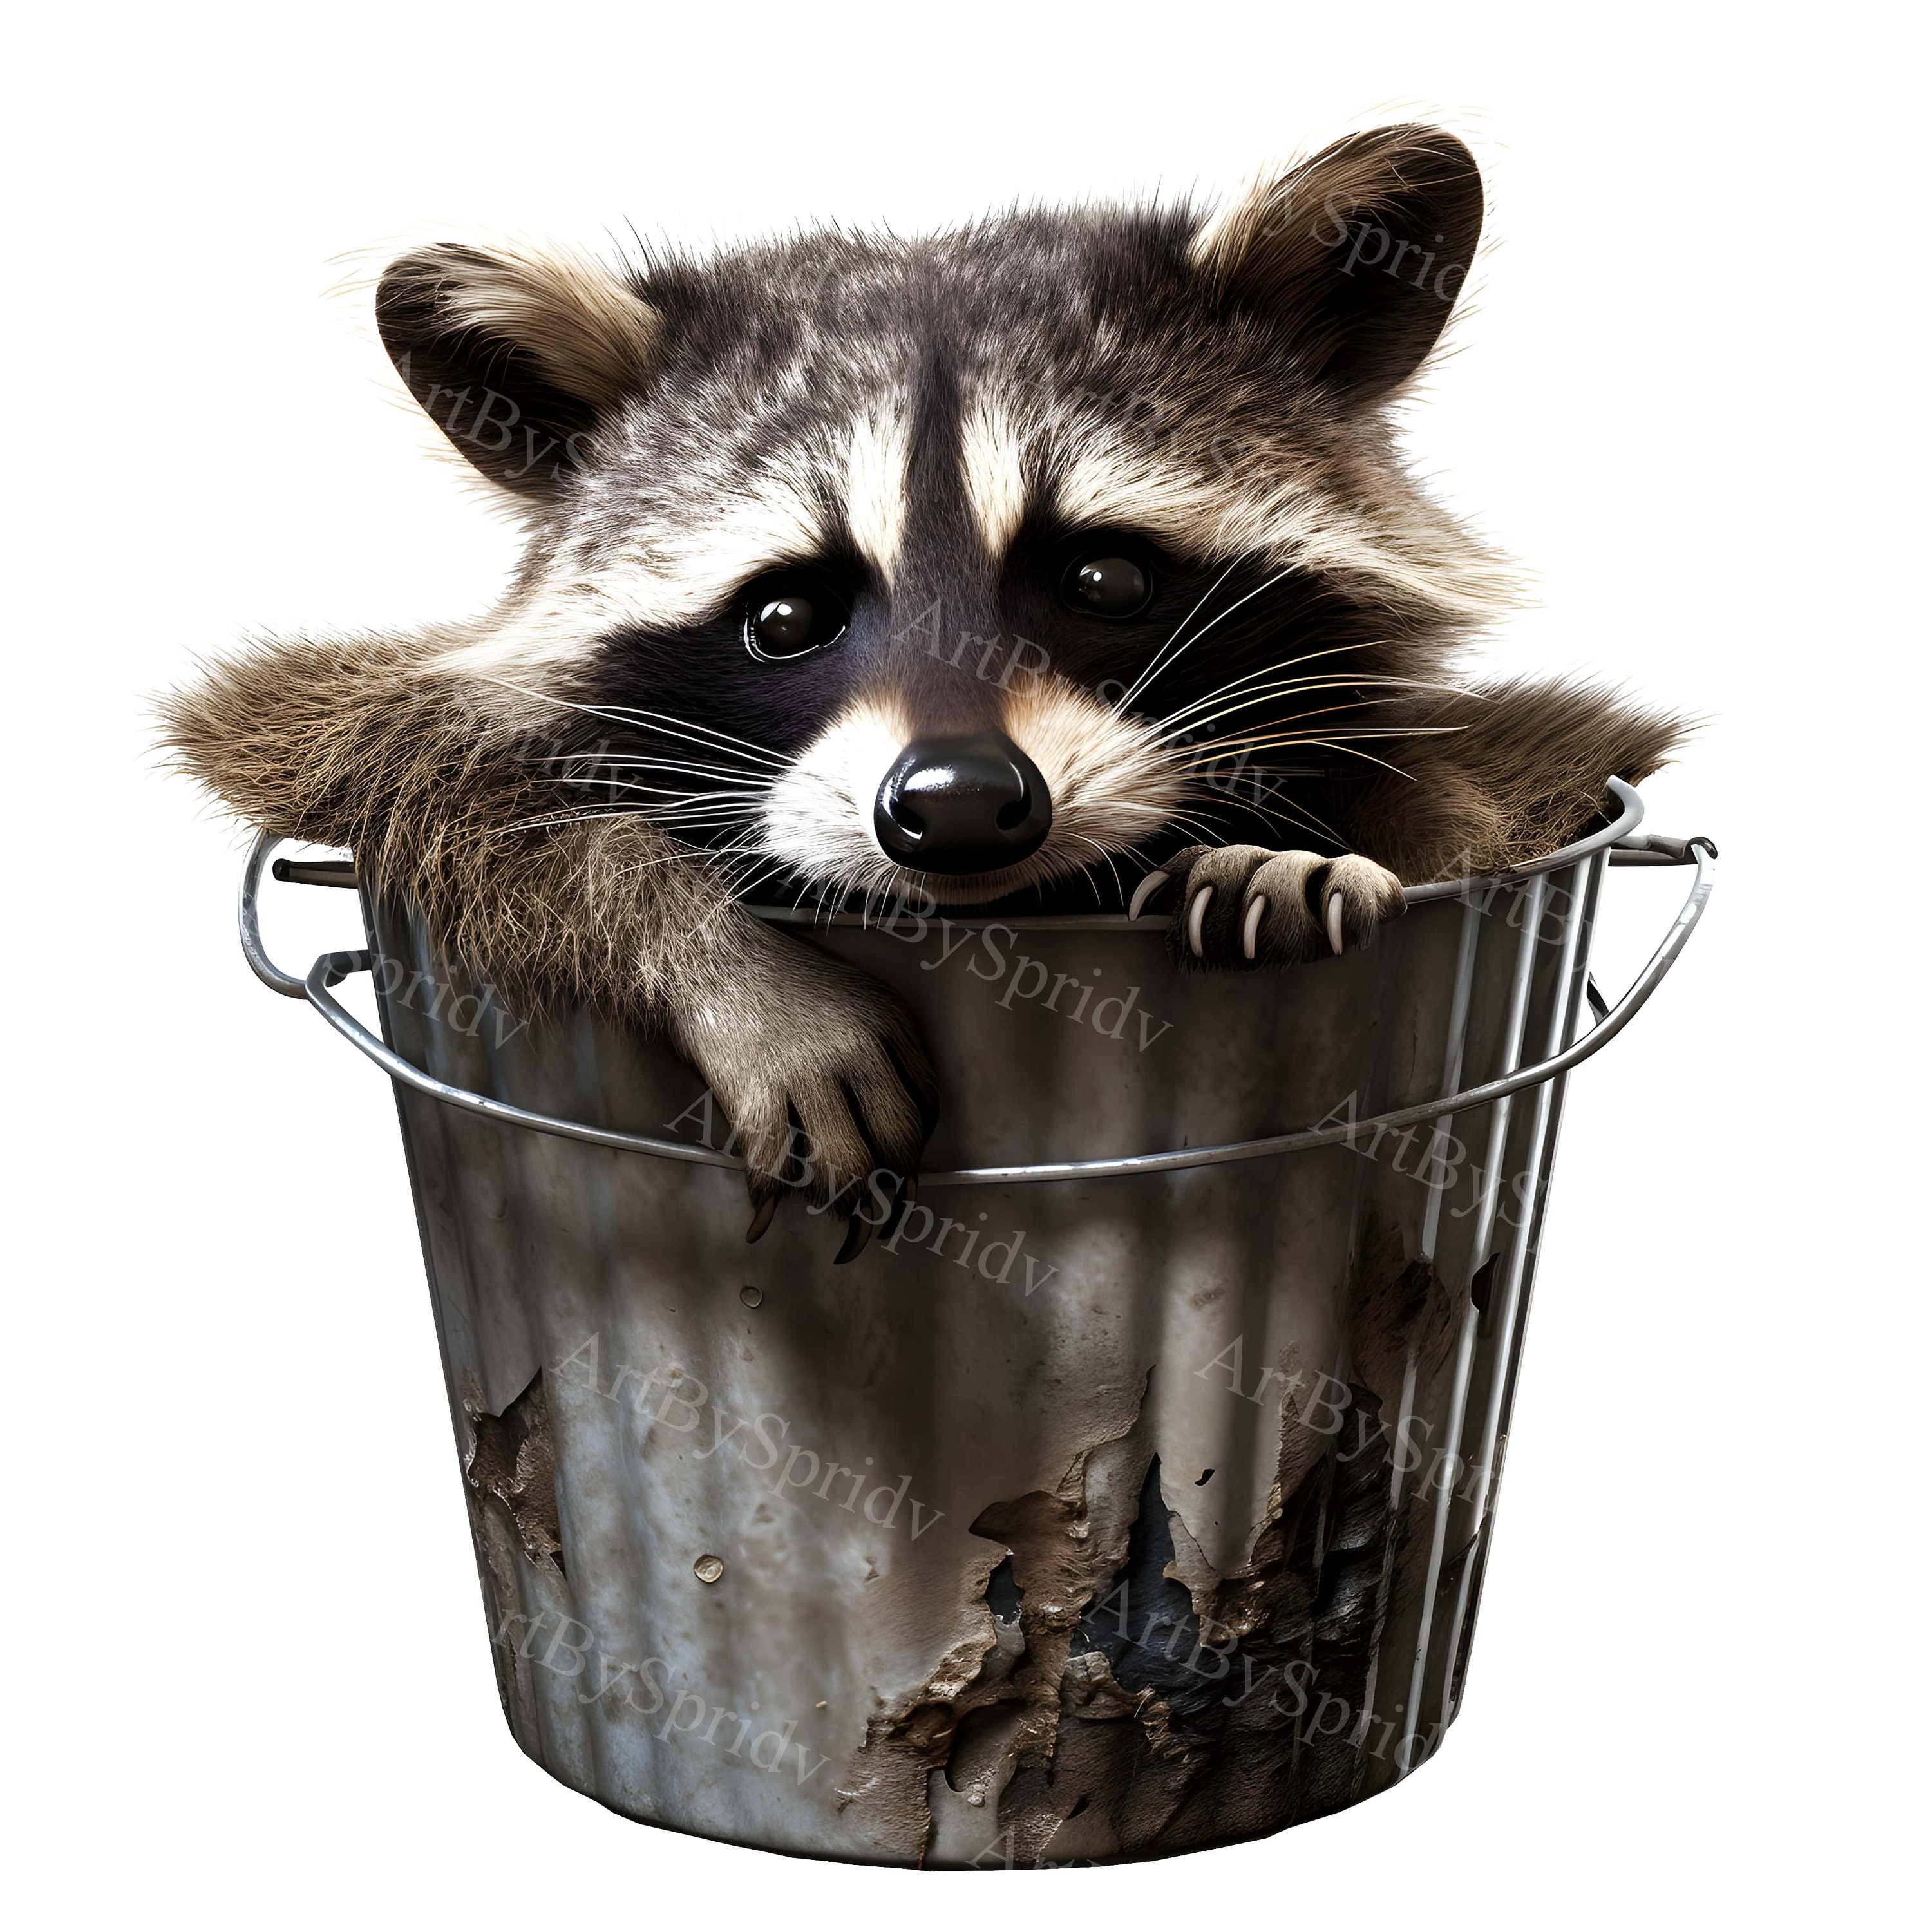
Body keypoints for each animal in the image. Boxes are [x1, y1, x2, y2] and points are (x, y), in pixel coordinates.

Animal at [161, 125, 1682, 1256]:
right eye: (785, 615)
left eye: (1105, 577)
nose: (954, 804)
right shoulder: (340, 709)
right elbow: (395, 756)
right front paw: (725, 963)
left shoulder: (1533, 745)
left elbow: (1489, 790)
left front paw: (1320, 848)